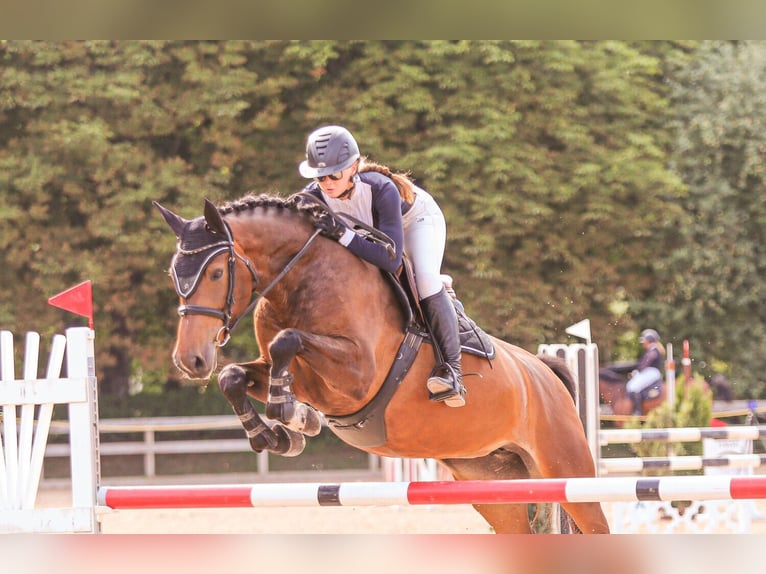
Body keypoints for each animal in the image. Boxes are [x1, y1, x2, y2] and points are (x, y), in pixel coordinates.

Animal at [154, 195, 612, 536]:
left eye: (215, 273)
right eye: (175, 273)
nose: (191, 360)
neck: (301, 279)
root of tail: (544, 372)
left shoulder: (355, 377)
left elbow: (290, 341)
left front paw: (289, 413)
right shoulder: (285, 370)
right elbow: (235, 376)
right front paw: (280, 433)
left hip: (567, 471)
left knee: (596, 524)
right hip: (493, 482)